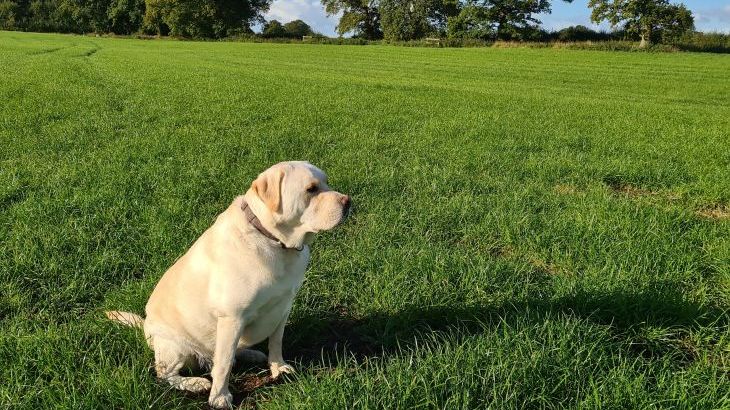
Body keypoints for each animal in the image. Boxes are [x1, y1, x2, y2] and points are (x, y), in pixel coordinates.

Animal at [104, 162, 350, 408]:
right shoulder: (232, 317)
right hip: (175, 347)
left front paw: (278, 367)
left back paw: (251, 354)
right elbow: (222, 365)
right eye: (311, 189)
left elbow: (276, 341)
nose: (348, 201)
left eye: (326, 182)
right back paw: (194, 383)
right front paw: (220, 397)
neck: (274, 241)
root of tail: (145, 326)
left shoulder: (284, 306)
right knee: (167, 374)